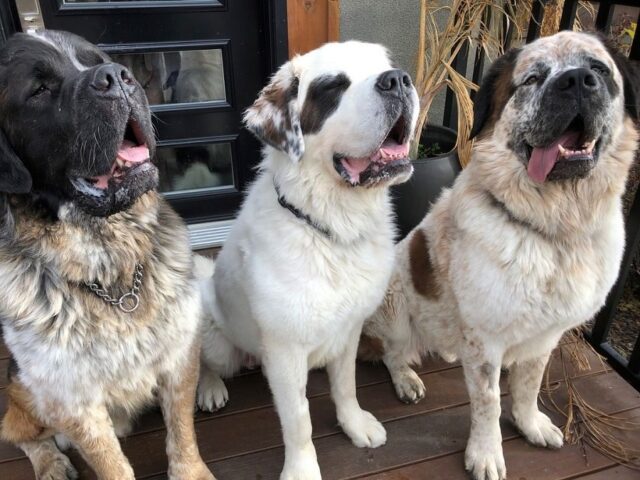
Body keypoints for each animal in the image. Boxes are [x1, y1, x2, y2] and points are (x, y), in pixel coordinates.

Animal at [198, 42, 420, 480]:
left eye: (385, 68)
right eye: (334, 87)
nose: (398, 80)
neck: (331, 227)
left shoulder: (350, 329)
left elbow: (346, 385)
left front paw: (355, 424)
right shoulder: (285, 352)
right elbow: (298, 419)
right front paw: (301, 468)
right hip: (219, 343)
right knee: (204, 361)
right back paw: (210, 388)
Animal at [362, 31, 636, 480]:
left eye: (598, 68)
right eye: (533, 78)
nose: (578, 81)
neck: (555, 230)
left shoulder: (546, 335)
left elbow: (529, 383)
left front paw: (530, 423)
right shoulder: (486, 342)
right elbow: (488, 401)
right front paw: (486, 453)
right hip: (395, 305)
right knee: (392, 352)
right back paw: (406, 379)